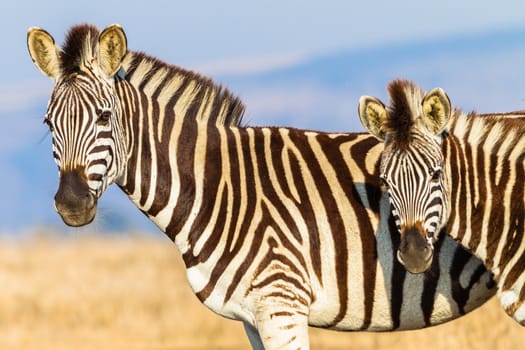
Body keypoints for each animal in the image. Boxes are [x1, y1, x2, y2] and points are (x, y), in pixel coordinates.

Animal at [27, 23, 496, 348]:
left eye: (104, 117)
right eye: (48, 123)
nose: (71, 205)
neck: (221, 188)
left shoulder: (281, 306)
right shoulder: (252, 316)